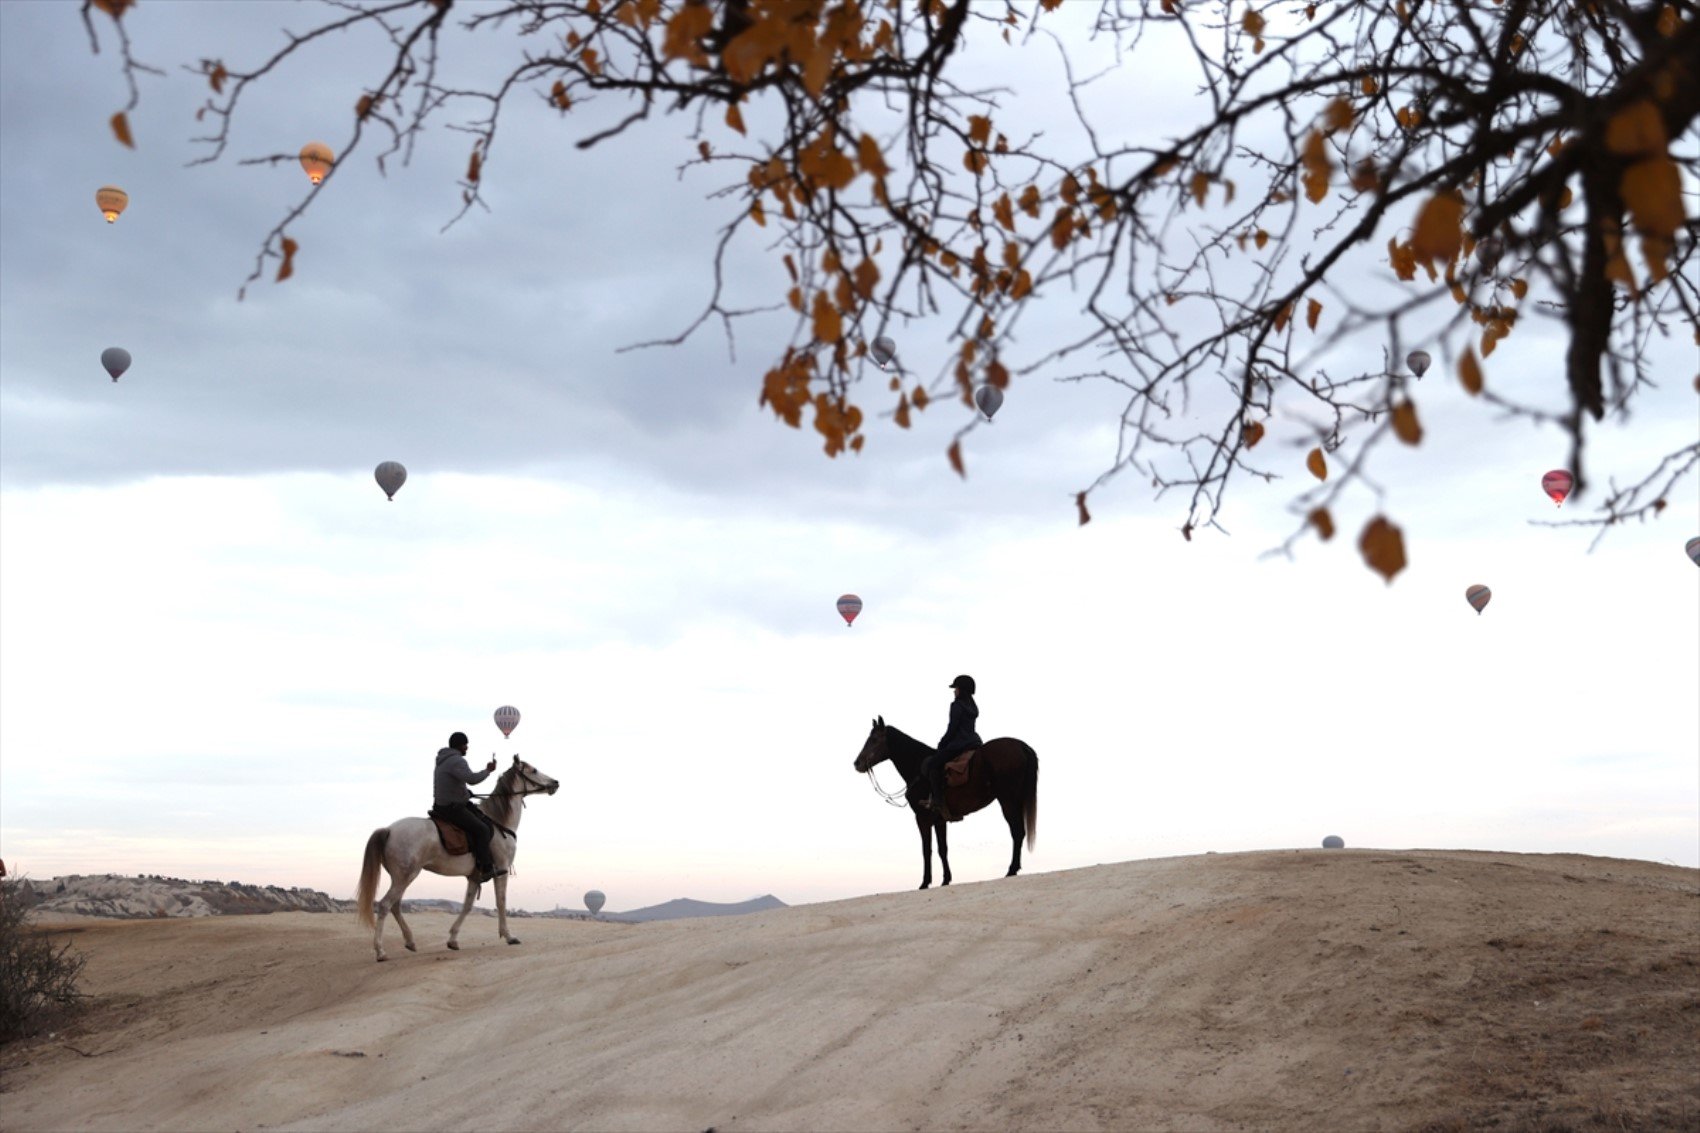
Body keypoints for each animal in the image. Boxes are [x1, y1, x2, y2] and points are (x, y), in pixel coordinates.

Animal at [357, 755, 557, 959]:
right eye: (533, 770)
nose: (555, 783)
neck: (498, 821)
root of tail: (389, 830)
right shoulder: (500, 871)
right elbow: (501, 902)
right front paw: (509, 936)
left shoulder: (475, 877)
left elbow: (467, 906)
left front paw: (453, 940)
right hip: (405, 877)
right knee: (385, 905)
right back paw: (380, 951)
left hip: (400, 878)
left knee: (395, 906)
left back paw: (410, 941)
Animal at [850, 717, 1033, 884]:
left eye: (874, 739)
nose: (857, 763)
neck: (918, 768)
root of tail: (1020, 745)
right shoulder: (939, 820)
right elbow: (942, 849)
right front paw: (946, 880)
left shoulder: (922, 818)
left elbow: (926, 850)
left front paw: (925, 882)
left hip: (1008, 800)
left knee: (1017, 832)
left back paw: (1011, 870)